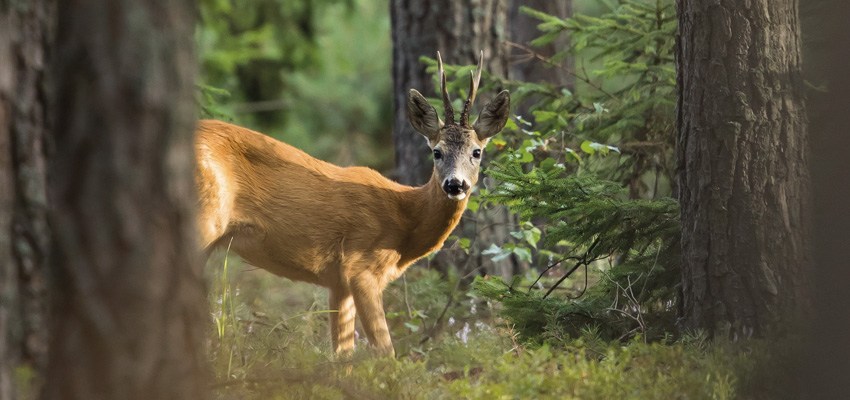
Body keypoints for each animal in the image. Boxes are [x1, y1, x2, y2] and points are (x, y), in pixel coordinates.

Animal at [195, 51, 506, 354]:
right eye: (437, 152)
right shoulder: (361, 268)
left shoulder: (337, 282)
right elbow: (385, 352)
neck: (405, 218)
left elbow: (343, 355)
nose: (455, 184)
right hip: (204, 219)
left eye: (477, 152)